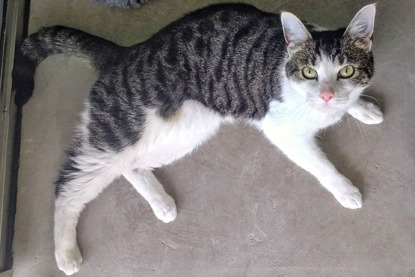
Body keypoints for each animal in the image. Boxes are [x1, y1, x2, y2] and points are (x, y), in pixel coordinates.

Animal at [13, 2, 384, 274]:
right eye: (309, 72)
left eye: (346, 71)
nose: (327, 95)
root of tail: (124, 52)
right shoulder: (282, 130)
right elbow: (321, 166)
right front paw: (345, 189)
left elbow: (351, 102)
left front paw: (362, 107)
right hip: (119, 133)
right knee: (68, 187)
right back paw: (66, 254)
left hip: (187, 129)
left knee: (130, 165)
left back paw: (161, 203)